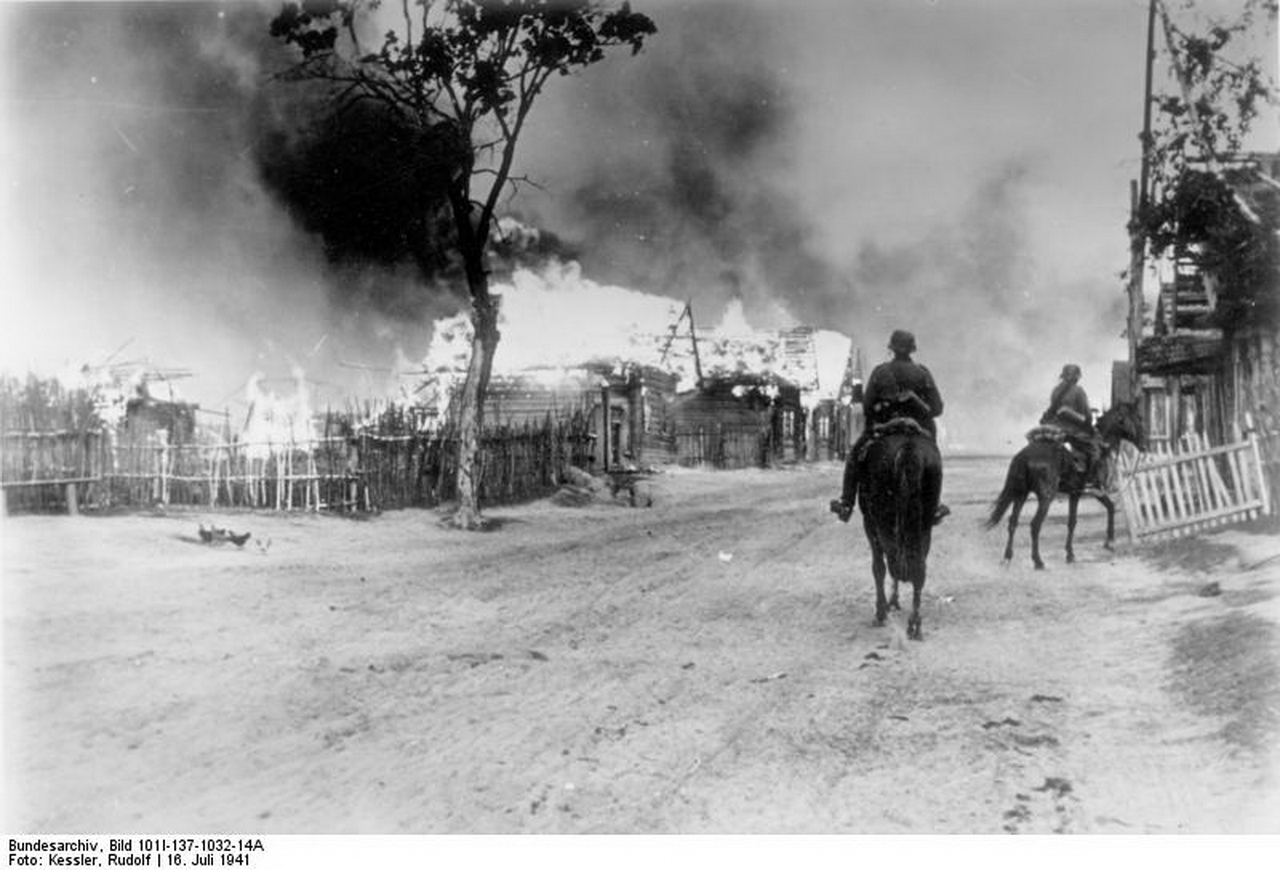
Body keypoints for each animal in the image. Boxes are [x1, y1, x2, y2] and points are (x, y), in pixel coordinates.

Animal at [860, 417, 942, 642]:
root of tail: (908, 448)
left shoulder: (870, 524)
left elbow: (879, 567)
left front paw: (883, 609)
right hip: (923, 524)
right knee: (918, 567)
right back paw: (914, 624)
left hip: (882, 522)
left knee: (891, 561)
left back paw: (887, 613)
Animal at [983, 401, 1146, 570]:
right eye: (1138, 418)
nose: (1144, 445)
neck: (1101, 445)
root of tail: (1023, 457)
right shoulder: (1088, 491)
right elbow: (1078, 520)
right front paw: (1107, 543)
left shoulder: (1077, 493)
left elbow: (1087, 516)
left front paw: (1075, 553)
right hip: (1045, 498)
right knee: (1035, 525)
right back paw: (1038, 561)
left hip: (1021, 494)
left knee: (1013, 522)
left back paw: (1007, 557)